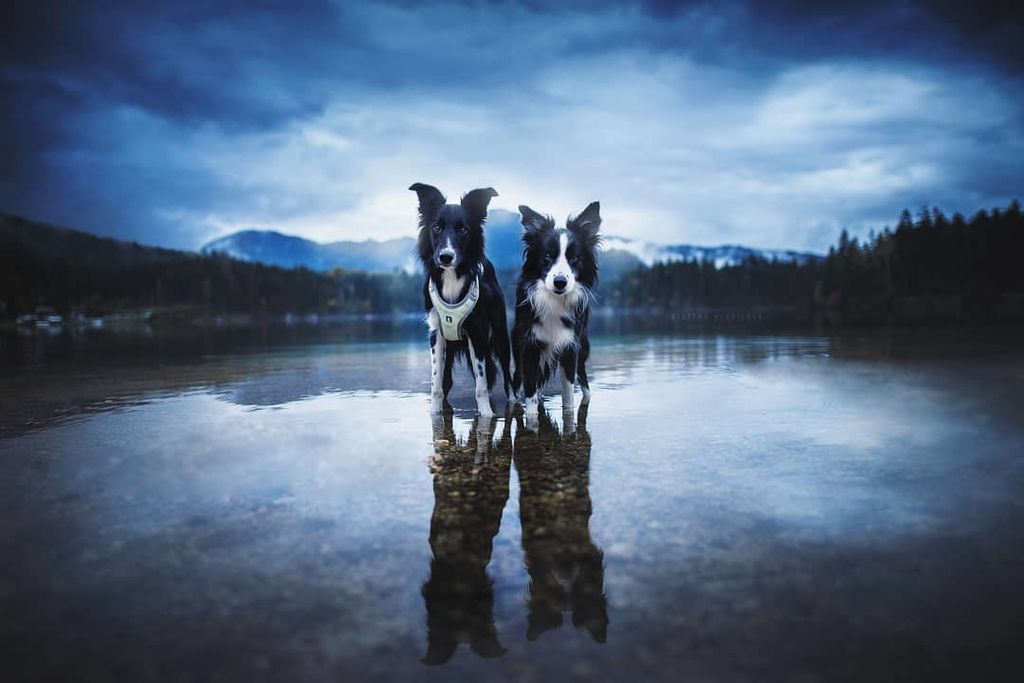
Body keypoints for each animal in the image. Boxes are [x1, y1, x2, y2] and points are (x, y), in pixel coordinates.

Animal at [411, 183, 516, 417]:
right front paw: (434, 413)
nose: (445, 257)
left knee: (506, 374)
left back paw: (514, 402)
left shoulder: (477, 333)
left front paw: (486, 414)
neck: (452, 276)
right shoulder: (436, 334)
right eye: (436, 228)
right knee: (447, 381)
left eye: (463, 230)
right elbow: (436, 382)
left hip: (500, 334)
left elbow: (481, 382)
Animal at [512, 200, 598, 419]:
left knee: (584, 383)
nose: (560, 282)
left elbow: (568, 398)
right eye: (548, 255)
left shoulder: (570, 348)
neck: (555, 300)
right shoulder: (529, 347)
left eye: (574, 258)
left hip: (583, 348)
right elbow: (530, 397)